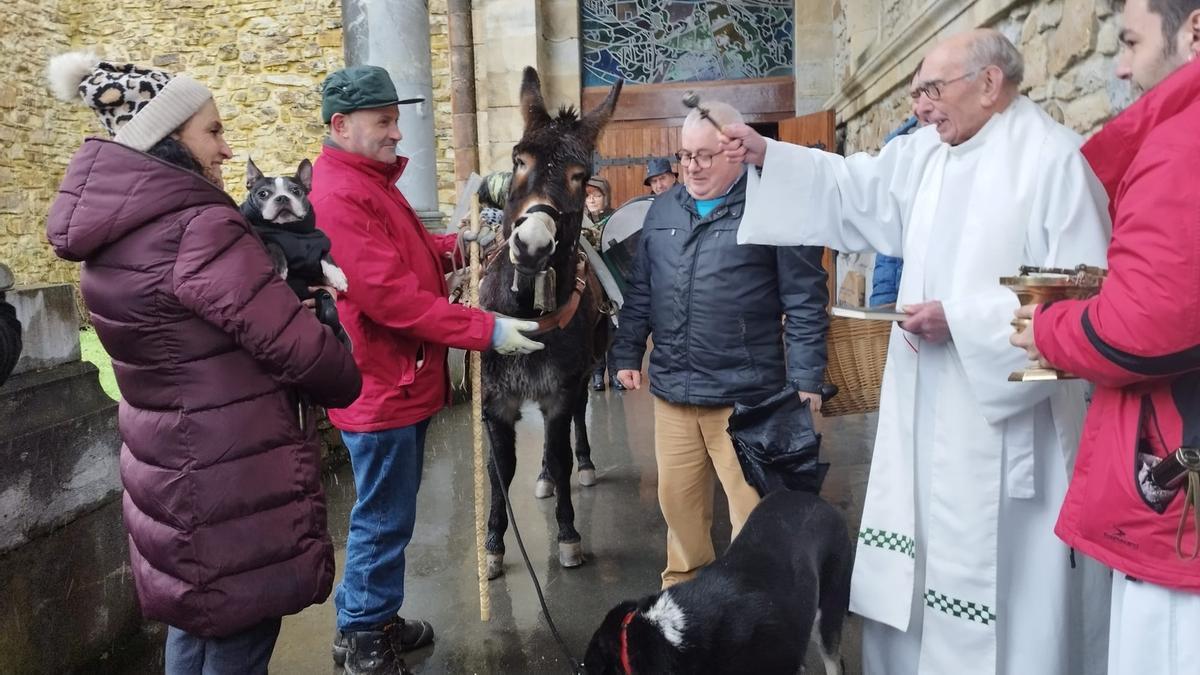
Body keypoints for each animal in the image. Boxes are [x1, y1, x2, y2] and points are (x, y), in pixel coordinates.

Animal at [240, 157, 350, 345]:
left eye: (296, 191)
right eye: (263, 194)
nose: (282, 198)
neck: (290, 230)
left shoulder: (316, 268)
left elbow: (326, 254)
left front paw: (337, 276)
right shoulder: (265, 235)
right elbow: (273, 243)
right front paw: (280, 267)